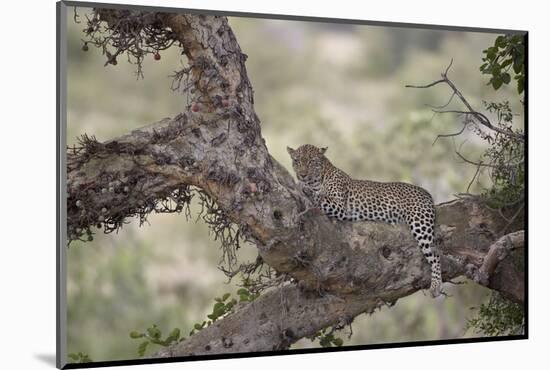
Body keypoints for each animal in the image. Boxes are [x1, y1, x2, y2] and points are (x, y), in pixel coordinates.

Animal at [288, 143, 444, 296]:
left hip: (420, 223)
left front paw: (305, 187)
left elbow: (319, 197)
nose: (302, 175)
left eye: (311, 161)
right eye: (297, 161)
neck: (318, 179)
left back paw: (435, 287)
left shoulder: (340, 207)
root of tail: (426, 193)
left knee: (436, 254)